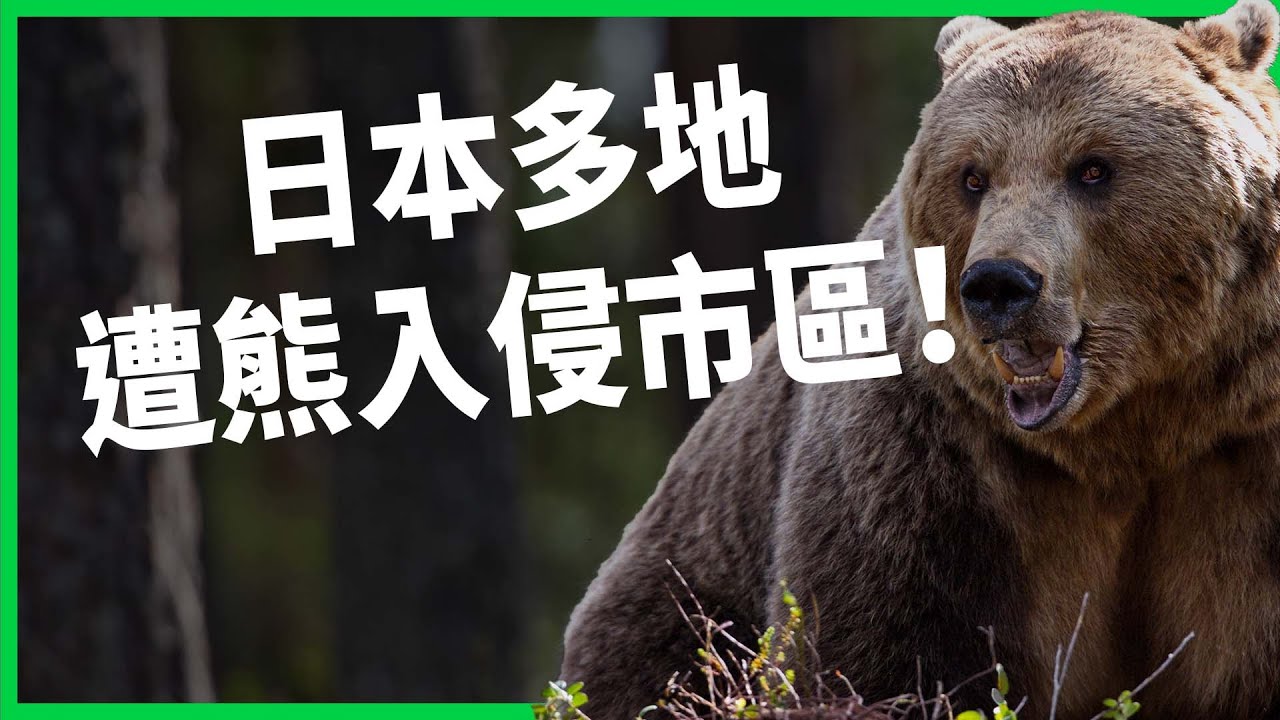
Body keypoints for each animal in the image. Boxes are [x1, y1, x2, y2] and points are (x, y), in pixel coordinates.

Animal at [560, 3, 1280, 719]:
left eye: (1093, 167)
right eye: (973, 176)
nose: (998, 283)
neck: (1133, 434)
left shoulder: (1243, 461)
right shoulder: (933, 464)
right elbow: (884, 651)